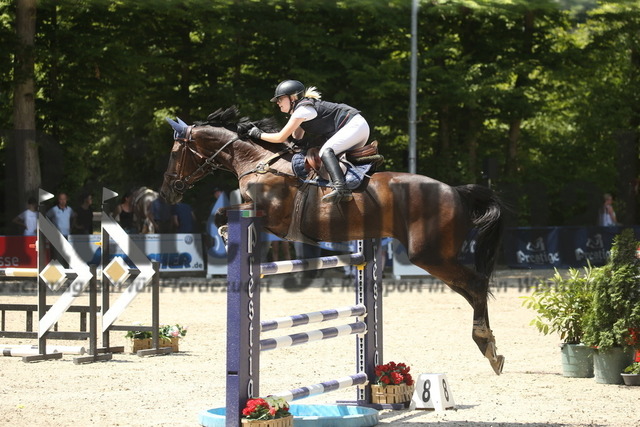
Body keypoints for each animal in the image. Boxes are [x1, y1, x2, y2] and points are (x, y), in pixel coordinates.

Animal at [160, 107, 504, 374]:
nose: (167, 192)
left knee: (475, 285)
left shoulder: (270, 216)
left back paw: (486, 345)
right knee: (471, 289)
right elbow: (223, 214)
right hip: (435, 256)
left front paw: (226, 234)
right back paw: (490, 345)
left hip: (430, 255)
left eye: (176, 153)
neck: (259, 163)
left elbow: (224, 216)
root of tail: (455, 191)